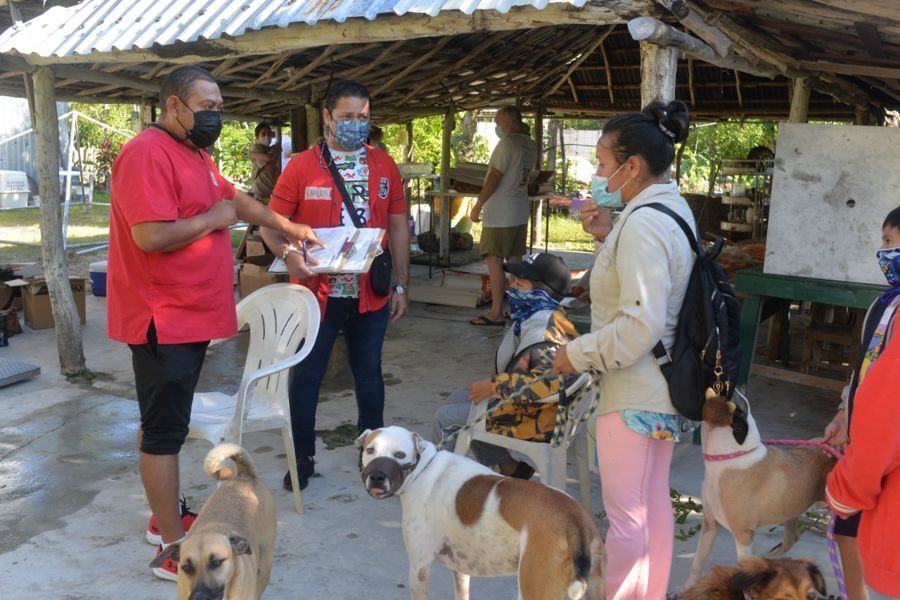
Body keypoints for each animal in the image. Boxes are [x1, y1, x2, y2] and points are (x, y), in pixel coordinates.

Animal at [354, 426, 604, 600]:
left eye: (400, 455)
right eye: (370, 450)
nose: (377, 477)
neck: (423, 469)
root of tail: (573, 519)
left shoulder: (419, 568)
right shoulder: (461, 570)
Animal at [684, 396, 840, 588]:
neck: (731, 455)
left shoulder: (743, 535)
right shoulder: (710, 525)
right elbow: (697, 563)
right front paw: (686, 588)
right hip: (789, 508)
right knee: (792, 537)